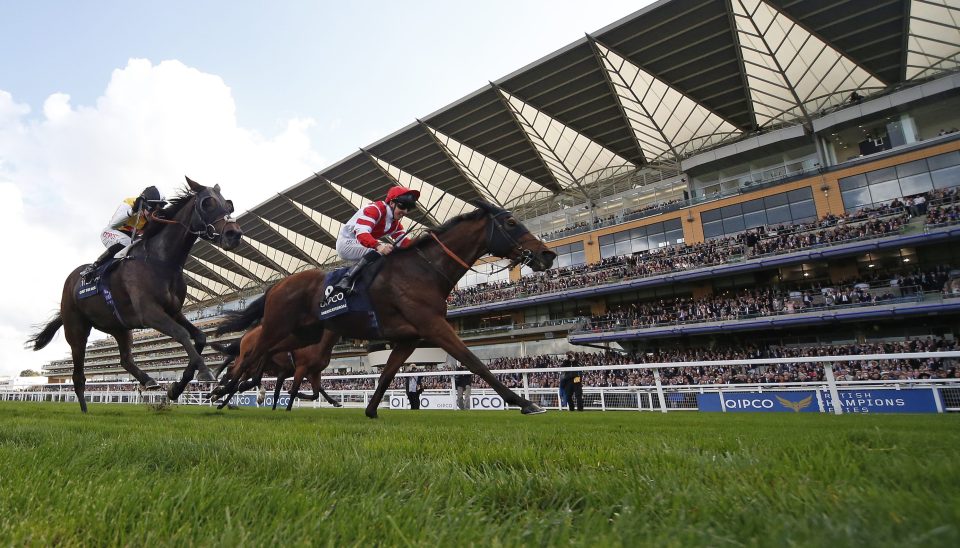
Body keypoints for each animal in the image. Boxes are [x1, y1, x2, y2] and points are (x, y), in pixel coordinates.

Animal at [29, 178, 244, 414]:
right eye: (208, 203)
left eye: (229, 204)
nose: (234, 234)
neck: (161, 261)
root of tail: (71, 281)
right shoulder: (149, 312)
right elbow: (181, 334)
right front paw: (205, 372)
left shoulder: (174, 311)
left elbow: (199, 336)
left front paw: (176, 388)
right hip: (76, 329)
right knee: (78, 375)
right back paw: (85, 410)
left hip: (119, 327)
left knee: (124, 359)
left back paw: (149, 380)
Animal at [212, 326, 344, 412]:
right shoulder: (301, 369)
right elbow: (292, 391)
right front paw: (287, 407)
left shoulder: (312, 372)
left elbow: (317, 392)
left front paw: (335, 402)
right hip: (247, 364)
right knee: (230, 375)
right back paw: (217, 393)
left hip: (249, 370)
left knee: (236, 383)